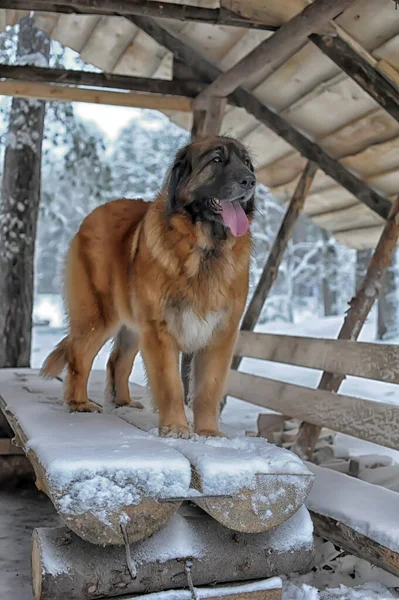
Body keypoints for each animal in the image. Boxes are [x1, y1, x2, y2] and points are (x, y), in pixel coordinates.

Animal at [42, 135, 256, 436]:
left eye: (247, 162)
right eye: (217, 159)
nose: (250, 181)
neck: (204, 248)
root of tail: (94, 214)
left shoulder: (220, 334)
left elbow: (208, 389)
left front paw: (208, 432)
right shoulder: (159, 329)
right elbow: (170, 385)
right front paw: (176, 427)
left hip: (132, 324)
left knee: (117, 360)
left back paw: (122, 402)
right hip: (98, 316)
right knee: (79, 355)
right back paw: (79, 403)